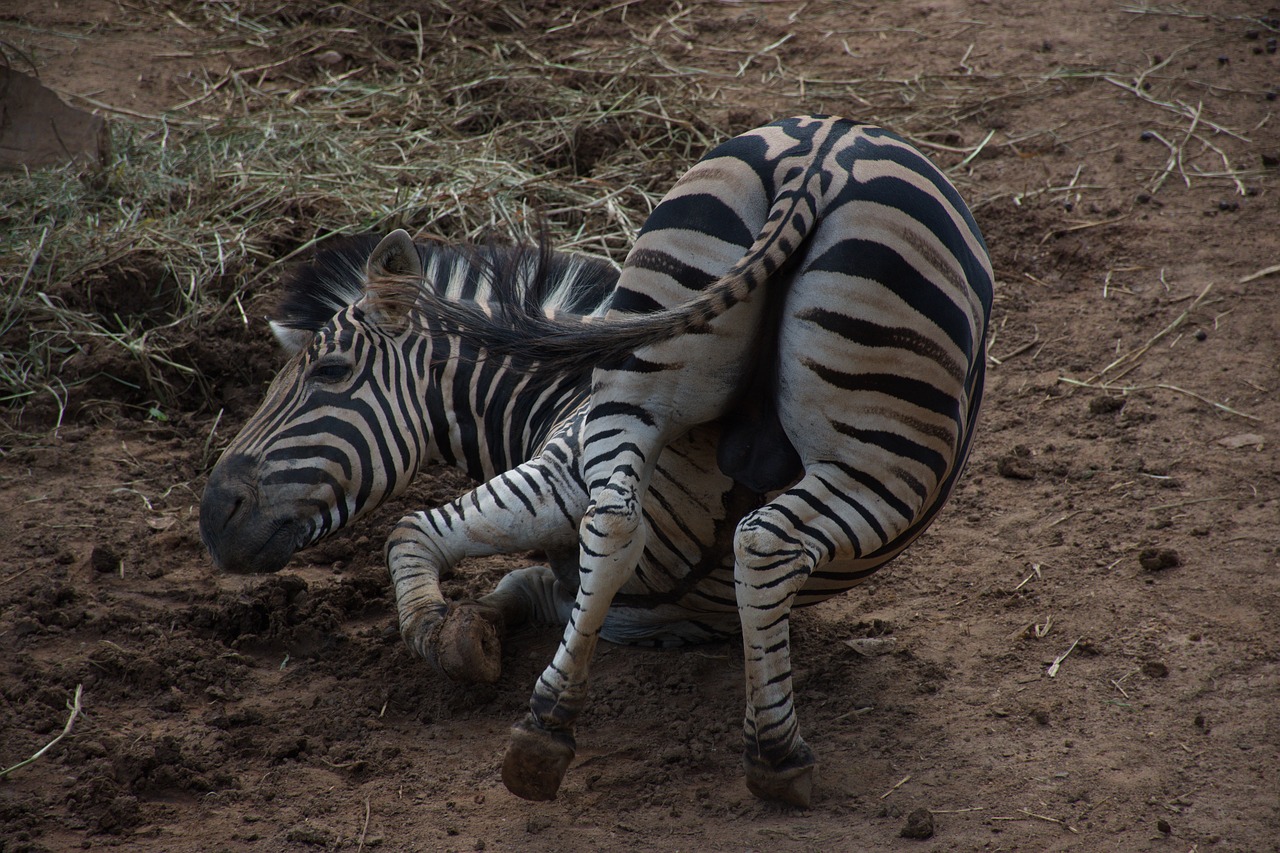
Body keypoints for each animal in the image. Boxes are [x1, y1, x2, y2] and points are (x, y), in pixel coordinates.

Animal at [204, 112, 993, 804]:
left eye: (330, 371)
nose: (213, 517)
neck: (550, 390)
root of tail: (826, 147)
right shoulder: (639, 606)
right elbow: (522, 578)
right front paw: (477, 631)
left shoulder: (563, 470)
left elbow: (413, 531)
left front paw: (445, 634)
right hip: (679, 374)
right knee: (669, 530)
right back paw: (578, 738)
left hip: (875, 456)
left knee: (727, 537)